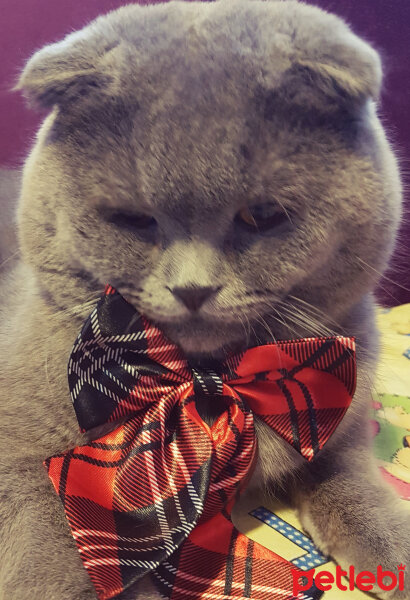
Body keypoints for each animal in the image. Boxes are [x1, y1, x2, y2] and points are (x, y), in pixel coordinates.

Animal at [0, 0, 410, 596]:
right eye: (133, 219)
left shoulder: (343, 405)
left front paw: (392, 543)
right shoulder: (21, 458)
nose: (193, 288)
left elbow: (348, 468)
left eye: (260, 216)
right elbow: (55, 552)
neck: (208, 378)